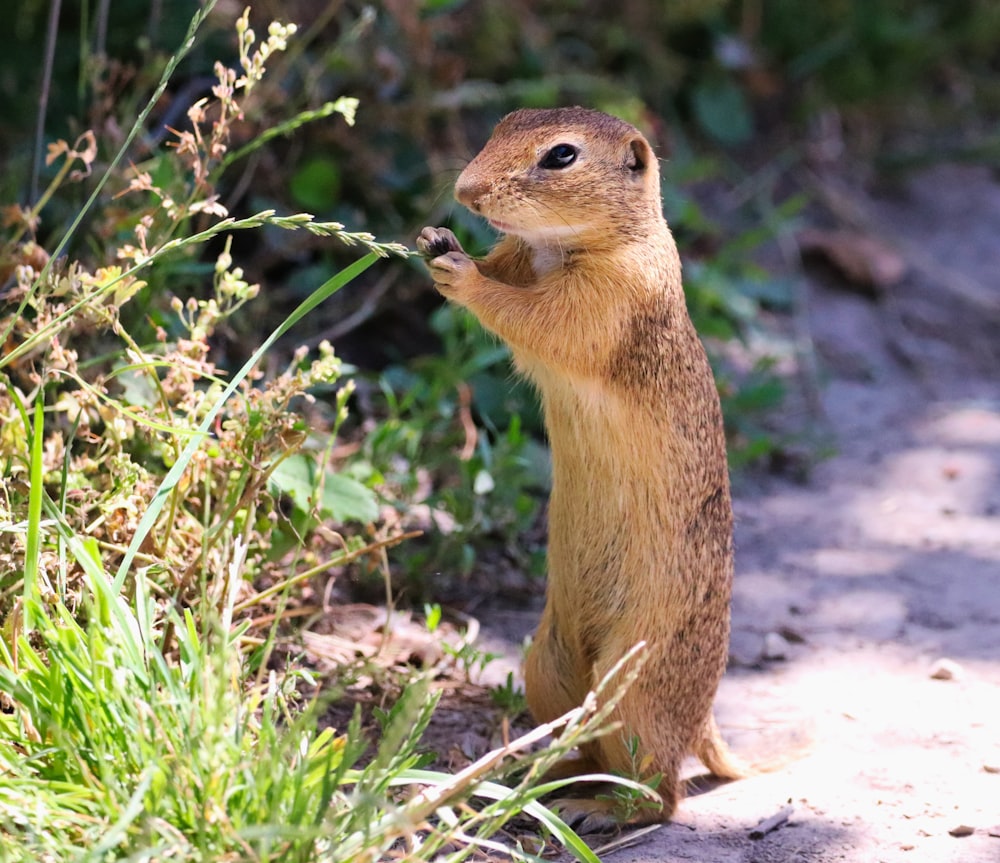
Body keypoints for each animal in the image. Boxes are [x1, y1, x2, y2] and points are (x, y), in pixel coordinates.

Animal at [416, 108, 744, 832]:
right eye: (503, 123)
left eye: (561, 156)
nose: (466, 192)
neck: (561, 247)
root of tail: (704, 718)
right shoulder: (523, 258)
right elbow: (508, 279)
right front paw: (436, 240)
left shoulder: (607, 299)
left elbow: (534, 318)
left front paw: (460, 272)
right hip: (546, 665)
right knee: (580, 740)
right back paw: (533, 778)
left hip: (633, 688)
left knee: (661, 792)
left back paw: (596, 808)